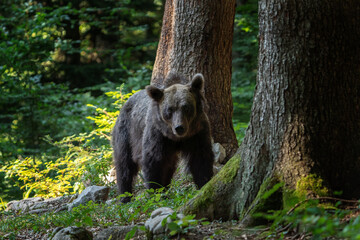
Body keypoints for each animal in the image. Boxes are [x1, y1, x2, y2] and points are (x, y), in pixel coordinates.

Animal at [112, 72, 214, 202]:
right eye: (170, 109)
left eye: (186, 107)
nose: (179, 127)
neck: (177, 139)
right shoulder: (158, 134)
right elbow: (154, 162)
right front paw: (156, 191)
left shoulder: (197, 133)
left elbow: (201, 159)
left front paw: (204, 183)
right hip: (126, 133)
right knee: (124, 164)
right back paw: (125, 196)